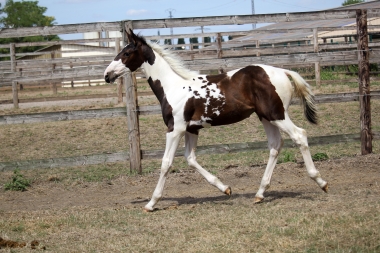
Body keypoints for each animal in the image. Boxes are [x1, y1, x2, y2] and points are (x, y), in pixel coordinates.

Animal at [103, 29, 326, 211]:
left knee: (300, 135)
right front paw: (225, 188)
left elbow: (166, 163)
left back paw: (321, 182)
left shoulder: (175, 129)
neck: (172, 86)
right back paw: (260, 194)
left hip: (276, 114)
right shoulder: (192, 129)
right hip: (265, 117)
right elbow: (191, 159)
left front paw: (151, 203)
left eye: (126, 53)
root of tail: (283, 71)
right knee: (275, 145)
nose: (107, 75)